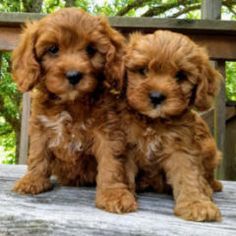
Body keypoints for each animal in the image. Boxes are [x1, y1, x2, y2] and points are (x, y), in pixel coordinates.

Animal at [11, 7, 136, 214]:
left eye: (91, 49)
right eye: (53, 49)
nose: (74, 75)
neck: (71, 103)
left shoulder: (107, 132)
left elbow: (111, 164)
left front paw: (114, 195)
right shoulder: (41, 126)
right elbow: (38, 154)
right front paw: (32, 181)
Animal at [121, 30, 223, 221]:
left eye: (180, 76)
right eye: (143, 70)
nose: (156, 97)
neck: (153, 121)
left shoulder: (182, 148)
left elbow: (188, 175)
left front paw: (196, 204)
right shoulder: (126, 143)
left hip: (209, 148)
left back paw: (209, 186)